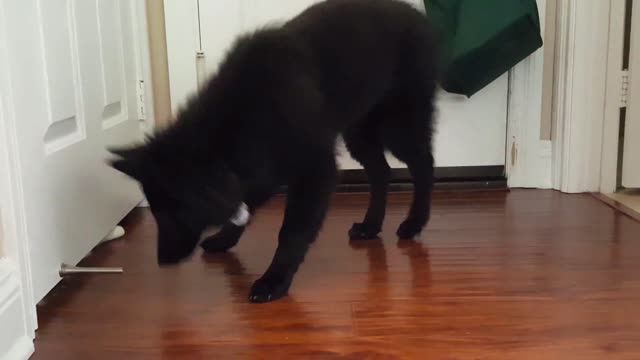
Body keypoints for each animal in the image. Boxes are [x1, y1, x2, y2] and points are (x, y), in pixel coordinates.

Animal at [110, 0, 440, 302]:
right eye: (155, 209)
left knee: (424, 163)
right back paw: (371, 225)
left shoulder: (314, 170)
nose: (162, 261)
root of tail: (416, 16)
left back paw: (414, 222)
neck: (242, 116)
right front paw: (225, 239)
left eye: (177, 209)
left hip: (398, 126)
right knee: (381, 171)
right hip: (358, 131)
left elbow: (291, 231)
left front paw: (274, 280)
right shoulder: (260, 170)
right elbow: (242, 208)